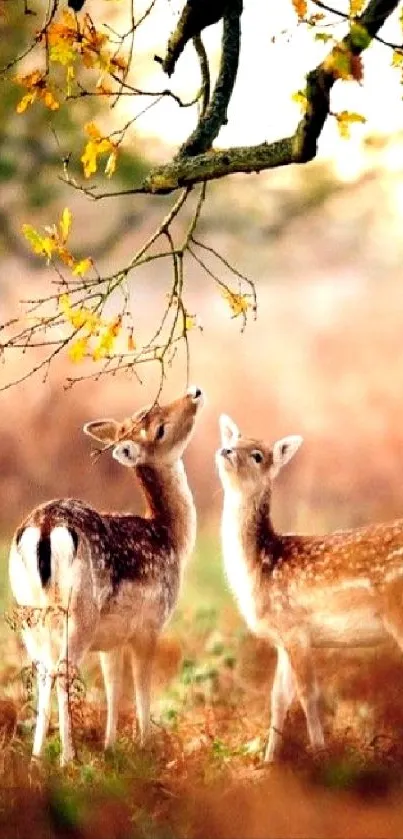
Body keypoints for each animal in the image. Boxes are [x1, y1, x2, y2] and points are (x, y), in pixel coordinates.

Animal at [8, 388, 205, 768]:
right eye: (159, 428)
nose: (194, 393)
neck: (169, 537)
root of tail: (44, 528)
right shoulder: (149, 625)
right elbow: (141, 685)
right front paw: (145, 746)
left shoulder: (111, 639)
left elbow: (113, 687)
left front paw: (110, 747)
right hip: (79, 611)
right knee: (63, 670)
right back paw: (67, 758)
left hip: (30, 613)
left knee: (43, 670)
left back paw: (37, 759)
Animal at [218, 416, 403, 764]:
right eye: (232, 440)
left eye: (258, 455)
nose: (225, 451)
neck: (261, 567)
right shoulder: (281, 638)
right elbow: (278, 697)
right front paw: (268, 761)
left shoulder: (296, 629)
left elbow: (308, 694)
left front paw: (320, 754)